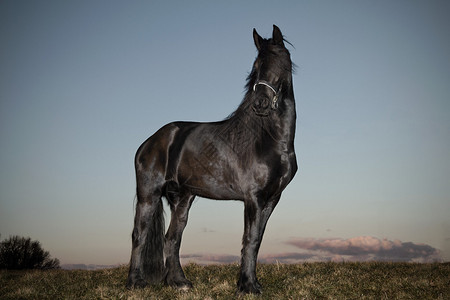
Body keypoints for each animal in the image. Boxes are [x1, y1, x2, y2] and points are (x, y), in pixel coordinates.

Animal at [126, 24, 298, 294]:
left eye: (279, 61)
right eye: (256, 66)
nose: (260, 103)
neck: (269, 140)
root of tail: (150, 141)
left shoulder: (272, 199)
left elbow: (258, 240)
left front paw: (251, 283)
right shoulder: (254, 198)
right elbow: (249, 239)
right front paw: (247, 286)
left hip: (183, 199)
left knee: (172, 237)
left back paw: (179, 282)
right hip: (148, 194)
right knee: (139, 234)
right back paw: (135, 283)